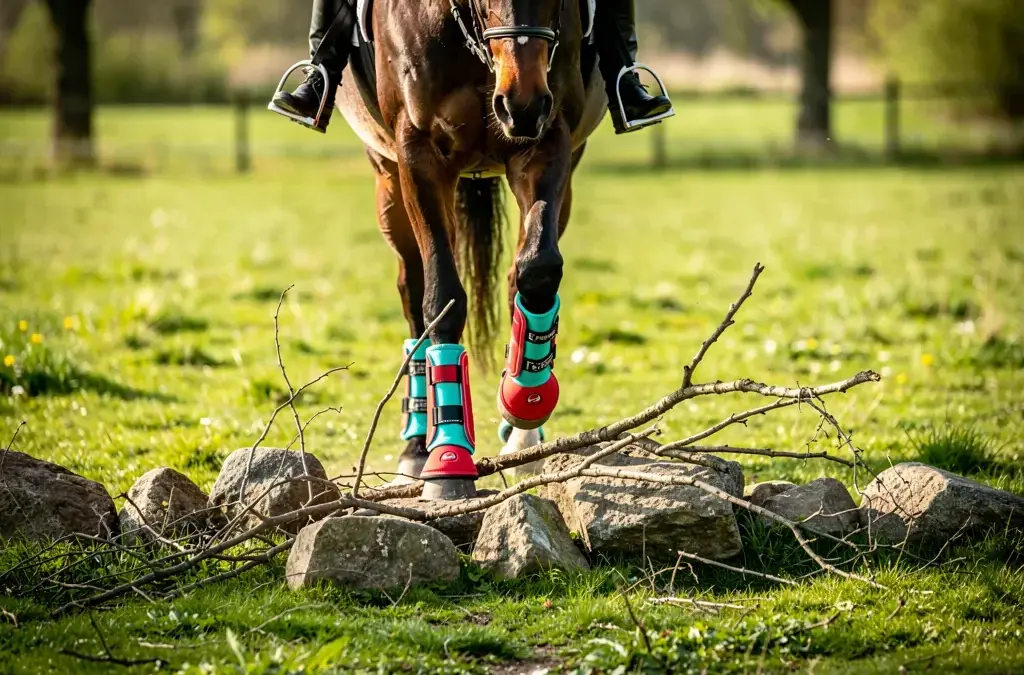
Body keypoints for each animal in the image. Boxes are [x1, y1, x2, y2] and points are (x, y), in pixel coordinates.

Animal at [335, 0, 607, 499]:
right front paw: (447, 457)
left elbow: (537, 270)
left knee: (516, 276)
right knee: (413, 293)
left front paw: (525, 398)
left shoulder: (546, 140)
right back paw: (415, 449)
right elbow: (441, 299)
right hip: (388, 181)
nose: (521, 104)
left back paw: (522, 440)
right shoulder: (417, 153)